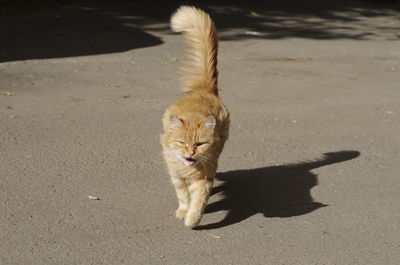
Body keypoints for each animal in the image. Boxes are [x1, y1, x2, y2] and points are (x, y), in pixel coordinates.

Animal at [159, 5, 228, 227]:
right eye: (181, 143)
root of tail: (204, 90)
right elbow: (183, 196)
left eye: (199, 144)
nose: (190, 154)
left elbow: (197, 201)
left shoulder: (203, 179)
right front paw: (183, 210)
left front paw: (191, 220)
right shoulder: (177, 177)